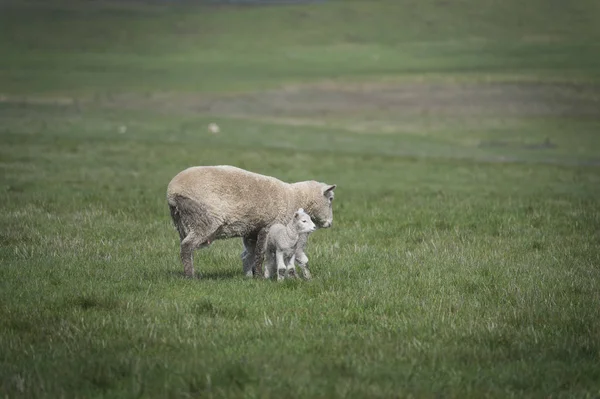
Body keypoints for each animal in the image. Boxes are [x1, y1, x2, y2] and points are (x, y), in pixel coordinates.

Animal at [168, 166, 338, 278]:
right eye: (330, 199)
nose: (329, 223)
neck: (295, 197)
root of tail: (171, 193)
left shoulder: (253, 230)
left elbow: (251, 253)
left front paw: (252, 275)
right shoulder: (268, 226)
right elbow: (260, 253)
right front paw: (260, 277)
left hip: (182, 223)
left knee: (185, 246)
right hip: (204, 219)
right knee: (187, 246)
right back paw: (191, 277)